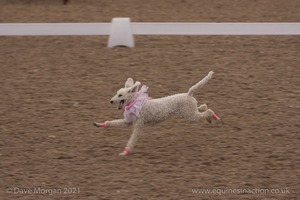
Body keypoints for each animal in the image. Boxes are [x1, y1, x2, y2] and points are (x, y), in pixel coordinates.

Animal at [94, 71, 223, 155]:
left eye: (120, 95)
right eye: (117, 93)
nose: (111, 101)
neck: (136, 101)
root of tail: (188, 94)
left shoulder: (139, 125)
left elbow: (132, 138)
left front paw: (125, 152)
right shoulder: (128, 121)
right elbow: (112, 123)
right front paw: (99, 124)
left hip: (190, 115)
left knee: (208, 111)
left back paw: (214, 117)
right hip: (190, 112)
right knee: (204, 106)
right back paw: (209, 117)